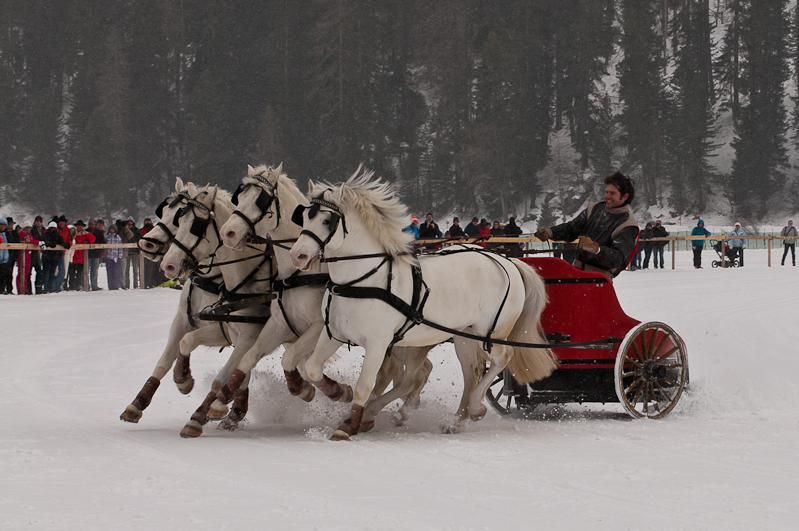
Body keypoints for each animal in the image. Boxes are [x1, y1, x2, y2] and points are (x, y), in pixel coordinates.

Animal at [119, 179, 233, 424]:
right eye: (164, 212)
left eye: (179, 218)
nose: (147, 243)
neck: (213, 279)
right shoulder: (181, 320)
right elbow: (167, 357)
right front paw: (137, 404)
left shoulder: (225, 331)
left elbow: (187, 342)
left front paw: (184, 379)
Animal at [159, 183, 276, 436]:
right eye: (169, 216)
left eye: (195, 225)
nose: (168, 264)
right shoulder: (228, 331)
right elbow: (187, 342)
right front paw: (183, 379)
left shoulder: (249, 334)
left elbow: (225, 374)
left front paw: (204, 413)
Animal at [212, 164, 434, 430]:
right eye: (240, 196)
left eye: (260, 200)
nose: (228, 233)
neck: (296, 274)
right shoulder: (278, 325)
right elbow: (248, 359)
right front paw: (220, 402)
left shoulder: (319, 327)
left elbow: (291, 359)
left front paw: (321, 390)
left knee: (411, 374)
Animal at [290, 169, 560, 440]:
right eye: (303, 217)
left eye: (327, 220)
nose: (297, 255)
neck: (360, 280)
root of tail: (508, 262)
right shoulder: (333, 333)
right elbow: (312, 368)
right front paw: (338, 391)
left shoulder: (378, 343)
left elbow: (364, 386)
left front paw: (348, 425)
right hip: (464, 335)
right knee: (470, 372)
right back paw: (457, 420)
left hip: (491, 333)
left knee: (501, 358)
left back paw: (474, 406)